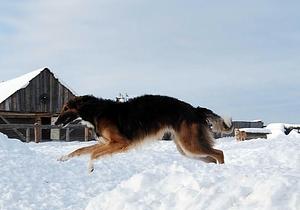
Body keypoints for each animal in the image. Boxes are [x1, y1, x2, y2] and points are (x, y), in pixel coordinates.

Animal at [55, 95, 232, 172]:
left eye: (66, 108)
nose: (55, 123)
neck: (97, 111)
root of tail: (195, 109)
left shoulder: (120, 143)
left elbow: (92, 154)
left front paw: (90, 167)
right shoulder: (106, 143)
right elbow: (80, 150)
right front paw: (63, 157)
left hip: (190, 144)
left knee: (219, 153)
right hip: (186, 149)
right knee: (212, 157)